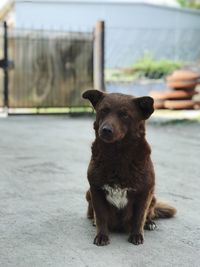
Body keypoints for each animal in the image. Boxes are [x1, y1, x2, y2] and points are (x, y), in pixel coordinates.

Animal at [82, 90, 176, 247]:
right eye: (103, 111)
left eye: (124, 115)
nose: (105, 130)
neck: (117, 155)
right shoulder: (96, 190)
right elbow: (101, 217)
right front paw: (101, 236)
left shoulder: (144, 192)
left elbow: (139, 217)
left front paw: (137, 235)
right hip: (88, 193)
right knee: (92, 213)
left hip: (153, 197)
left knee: (149, 213)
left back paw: (150, 223)